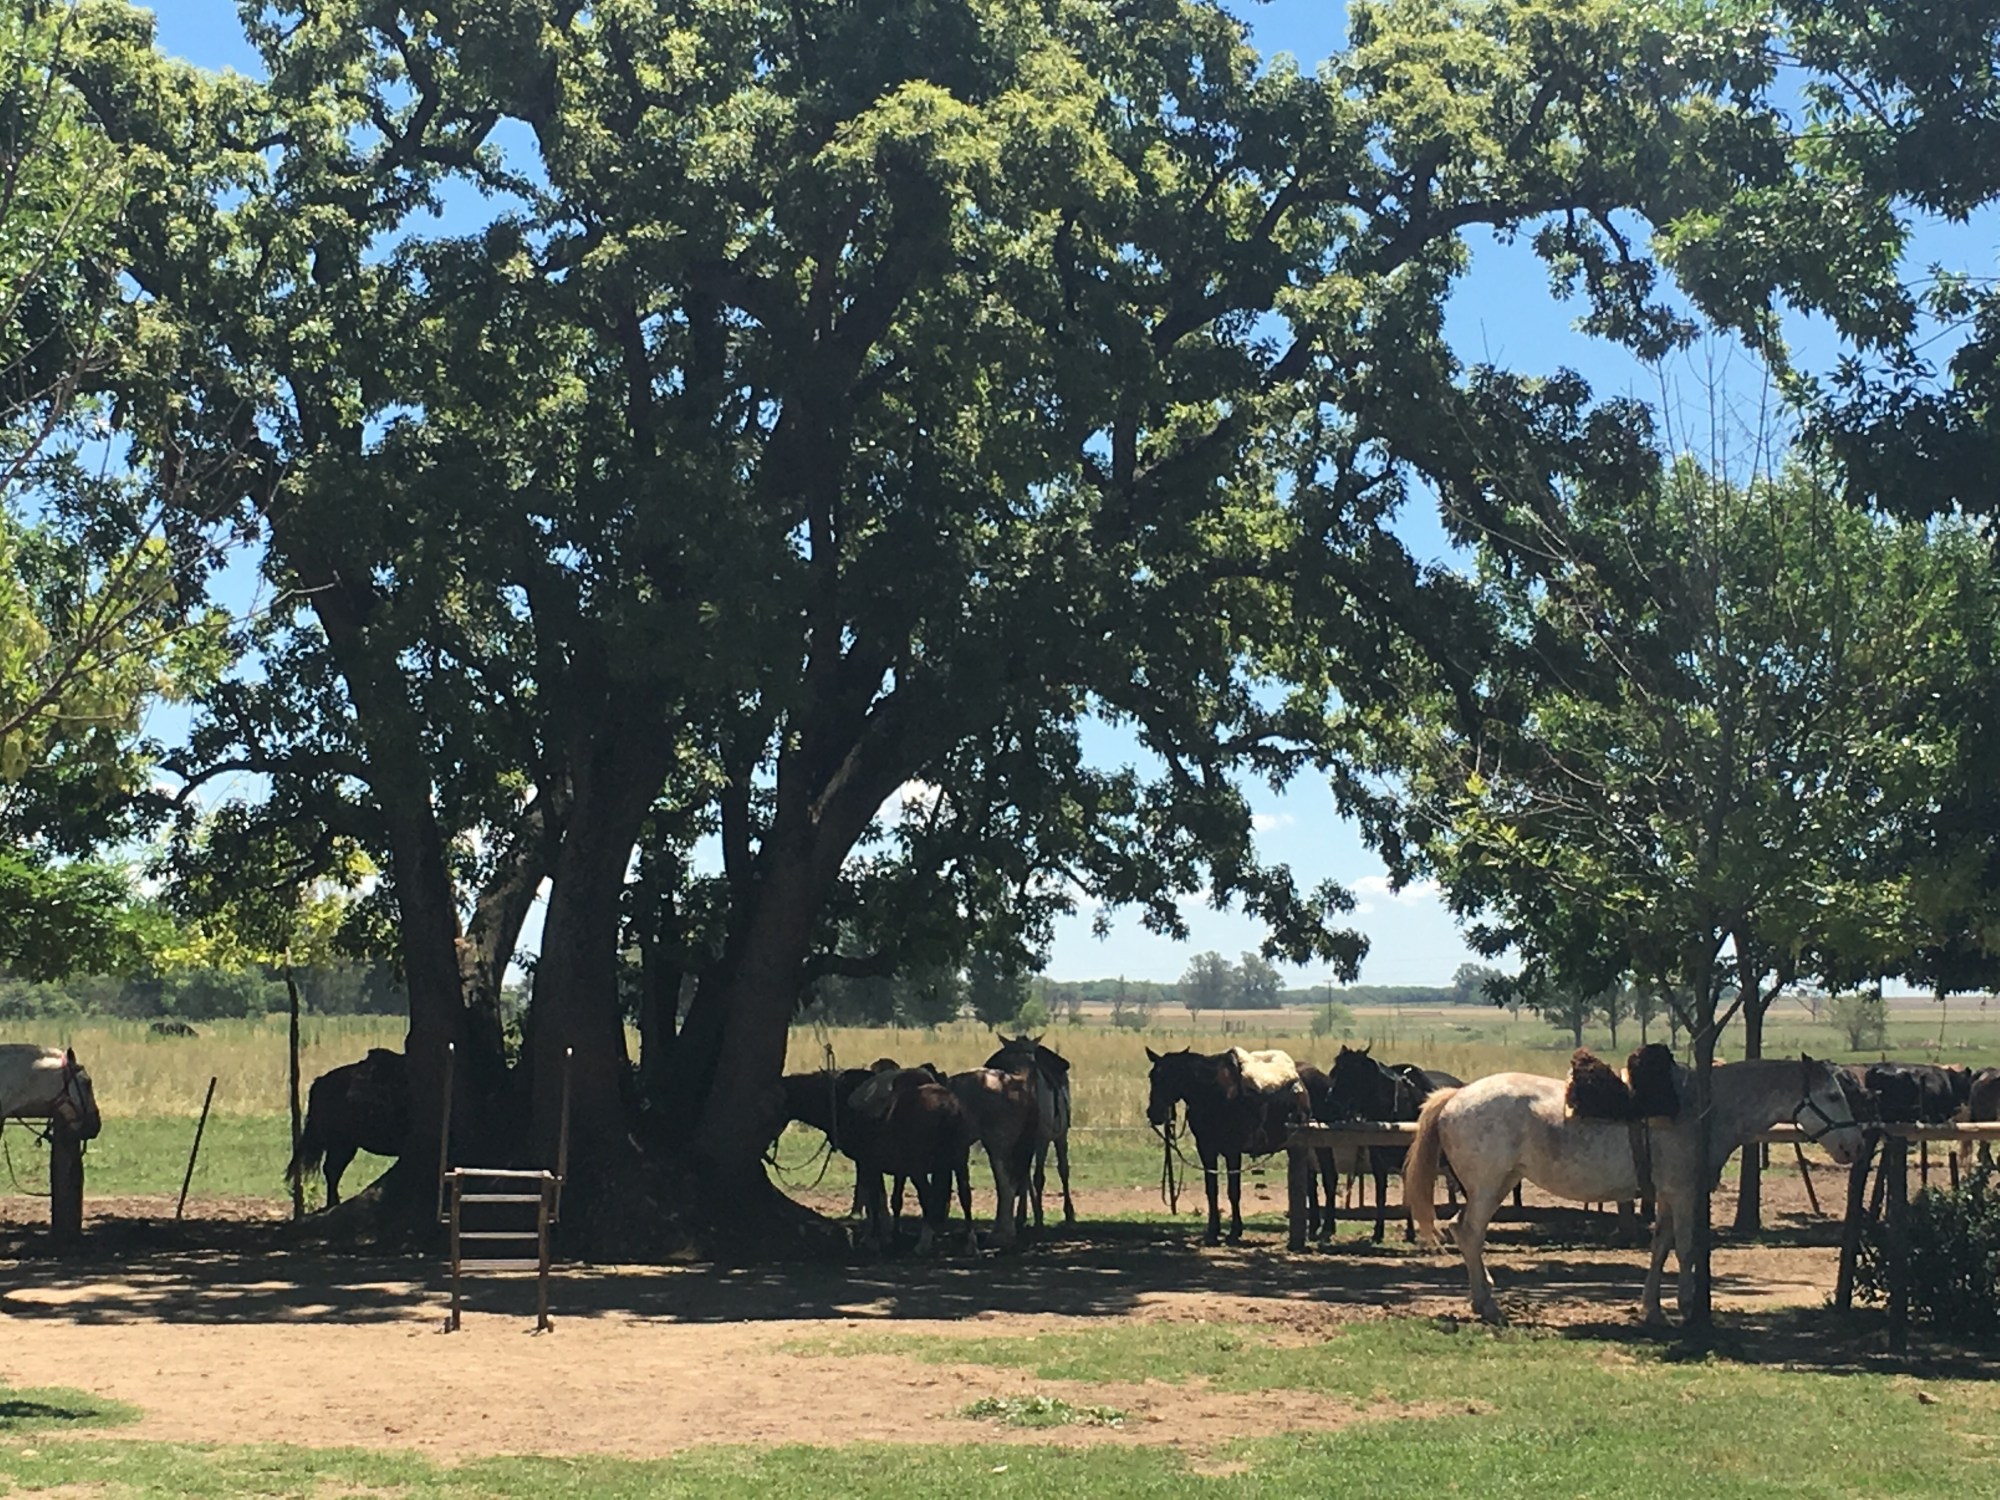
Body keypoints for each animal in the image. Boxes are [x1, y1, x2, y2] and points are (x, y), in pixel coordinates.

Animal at [984, 1034, 1075, 1230]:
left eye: (1032, 1061)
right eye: (1008, 1060)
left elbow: (1038, 1178)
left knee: (1063, 1169)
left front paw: (1039, 1218)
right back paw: (1022, 1215)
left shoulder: (1042, 1140)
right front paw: (1023, 1215)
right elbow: (1021, 1176)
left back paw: (1069, 1213)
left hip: (1060, 1136)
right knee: (1025, 1175)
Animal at [1144, 1046, 1337, 1246]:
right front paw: (1212, 1232)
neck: (1212, 1091)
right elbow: (1211, 1190)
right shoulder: (1206, 1149)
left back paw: (1327, 1230)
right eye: (1152, 1076)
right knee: (1311, 1182)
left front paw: (1234, 1232)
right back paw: (1313, 1229)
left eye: (1172, 1076)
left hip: (1324, 1144)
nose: (1154, 1113)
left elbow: (1233, 1191)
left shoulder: (1232, 1151)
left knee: (1329, 1179)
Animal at [1323, 1045, 1461, 1242]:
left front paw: (1410, 1232)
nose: (1330, 1103)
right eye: (1334, 1072)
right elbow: (1381, 1195)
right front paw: (1378, 1232)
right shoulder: (1378, 1162)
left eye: (1351, 1074)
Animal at [1405, 1055, 1865, 1326]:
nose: (1854, 1146)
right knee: (1469, 1232)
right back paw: (1488, 1305)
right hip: (1487, 1186)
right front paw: (1687, 1308)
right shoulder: (1683, 1193)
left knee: (1465, 1231)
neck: (1700, 1109)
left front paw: (1652, 1309)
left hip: (1500, 1183)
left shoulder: (1667, 1196)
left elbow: (1661, 1247)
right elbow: (1686, 1250)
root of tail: (1456, 1096)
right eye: (1831, 1095)